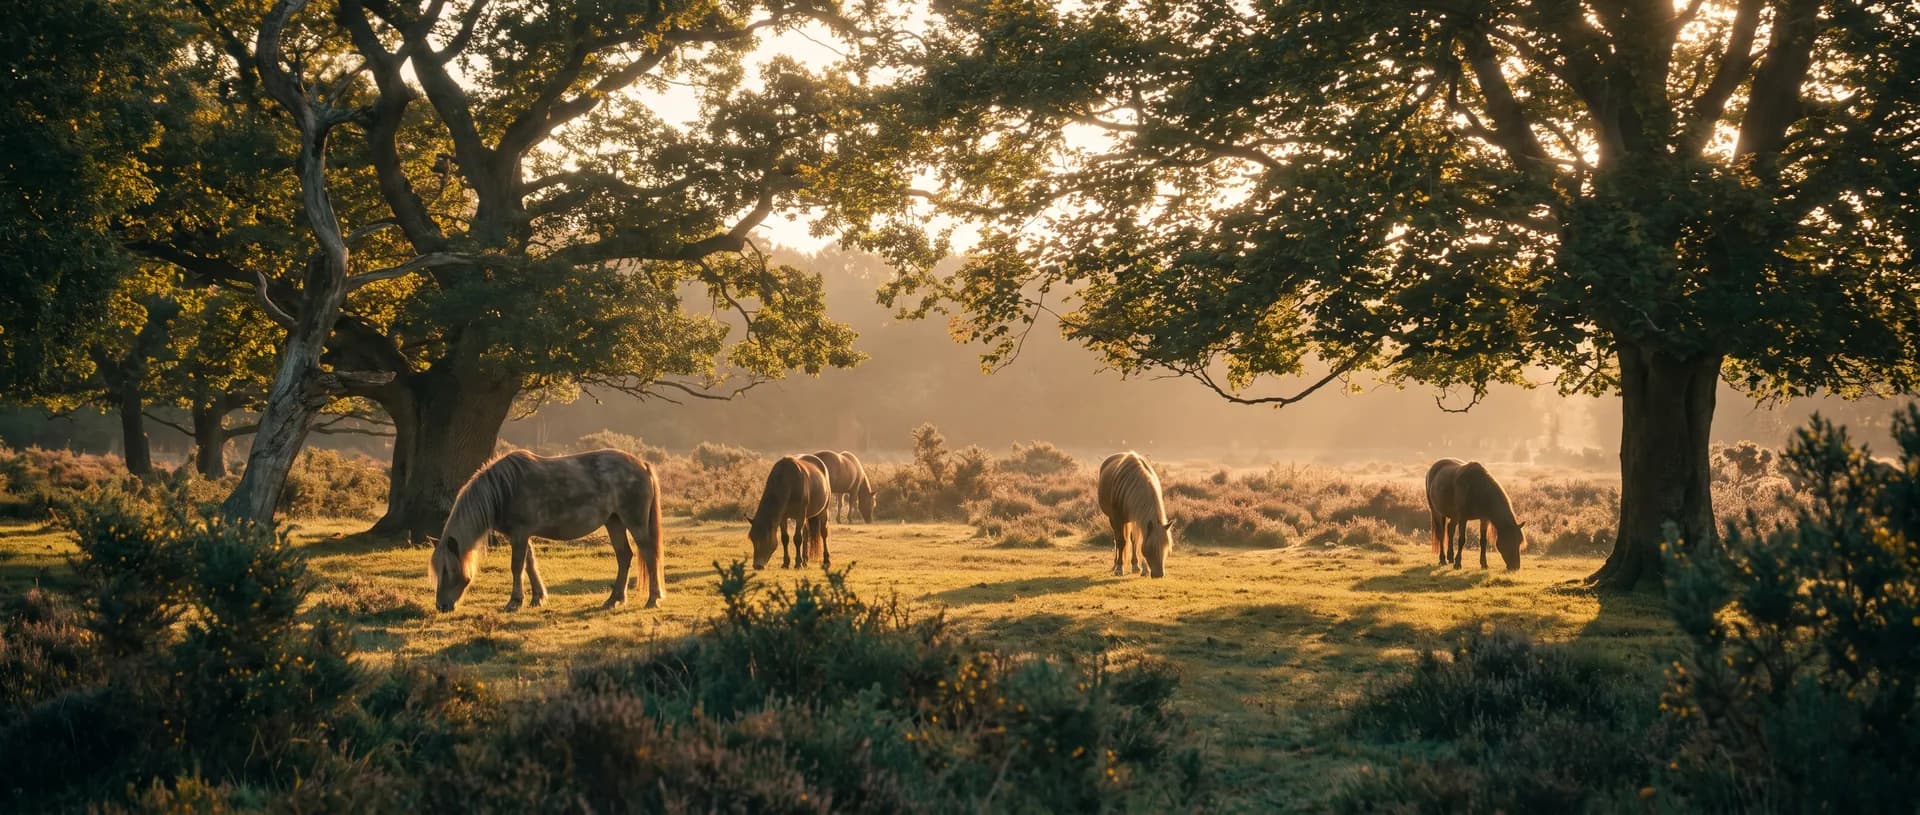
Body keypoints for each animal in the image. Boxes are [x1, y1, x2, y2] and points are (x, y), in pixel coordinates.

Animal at [430, 449, 664, 613]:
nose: (441, 606)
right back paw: (613, 599)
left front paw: (514, 602)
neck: (504, 490)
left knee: (649, 555)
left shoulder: (520, 533)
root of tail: (642, 464)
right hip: (614, 522)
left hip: (634, 522)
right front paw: (537, 598)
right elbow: (530, 563)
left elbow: (517, 566)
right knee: (624, 556)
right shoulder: (521, 535)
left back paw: (652, 599)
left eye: (447, 570)